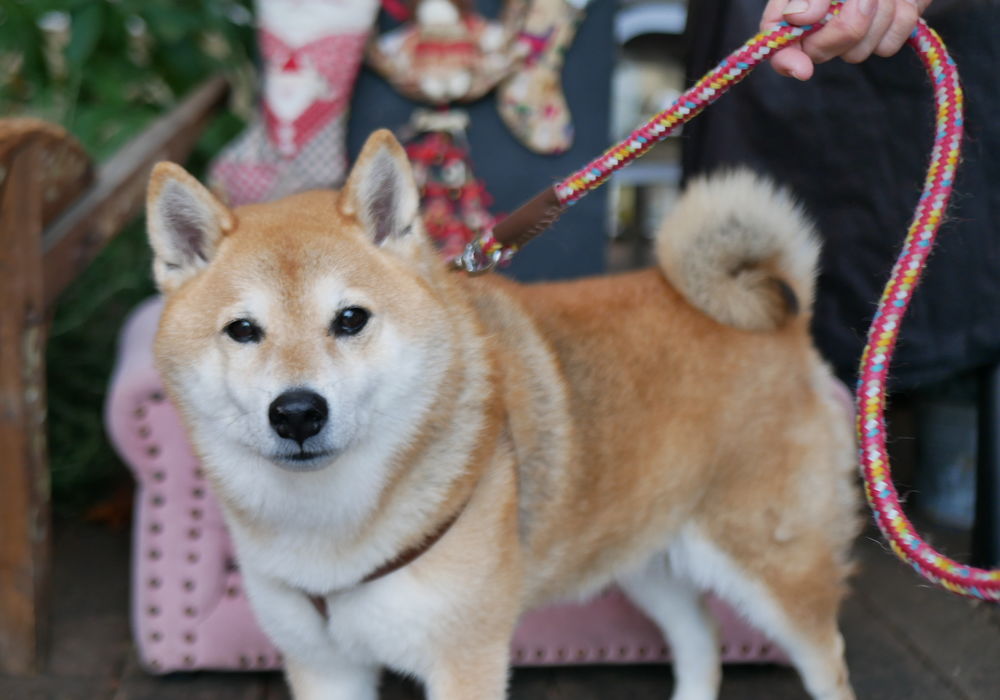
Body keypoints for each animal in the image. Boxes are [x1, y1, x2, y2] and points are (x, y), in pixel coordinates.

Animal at [147, 129, 859, 700]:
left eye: (350, 319)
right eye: (243, 331)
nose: (297, 412)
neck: (331, 529)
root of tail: (784, 321)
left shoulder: (466, 660)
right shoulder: (324, 665)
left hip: (775, 569)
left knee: (827, 660)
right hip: (644, 558)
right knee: (701, 639)